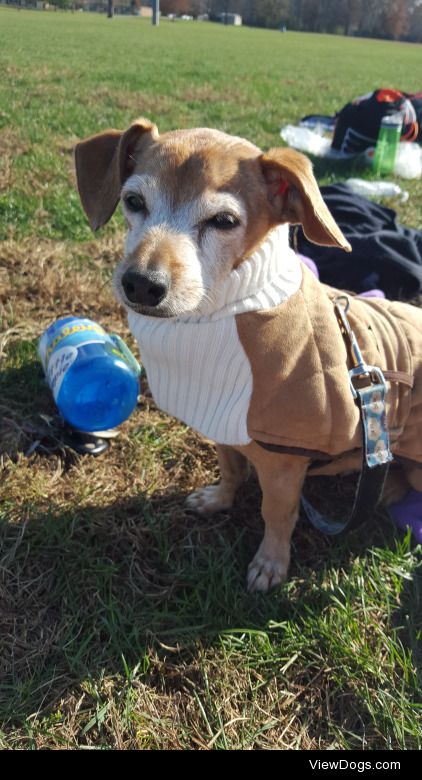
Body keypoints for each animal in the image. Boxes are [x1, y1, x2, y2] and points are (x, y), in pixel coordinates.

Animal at [74, 119, 422, 592]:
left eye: (224, 221)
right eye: (133, 201)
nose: (141, 284)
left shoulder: (283, 464)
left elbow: (276, 514)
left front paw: (270, 564)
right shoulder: (222, 425)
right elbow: (231, 469)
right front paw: (219, 499)